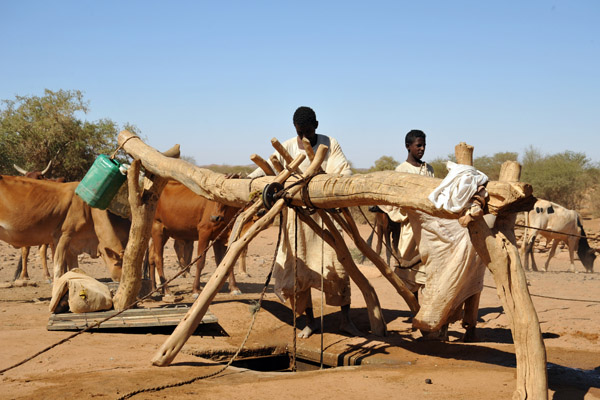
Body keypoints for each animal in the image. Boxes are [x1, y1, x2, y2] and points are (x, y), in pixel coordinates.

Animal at [0, 177, 130, 286]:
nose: (122, 280)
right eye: (118, 263)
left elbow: (74, 268)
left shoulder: (73, 245)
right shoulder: (64, 236)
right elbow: (59, 267)